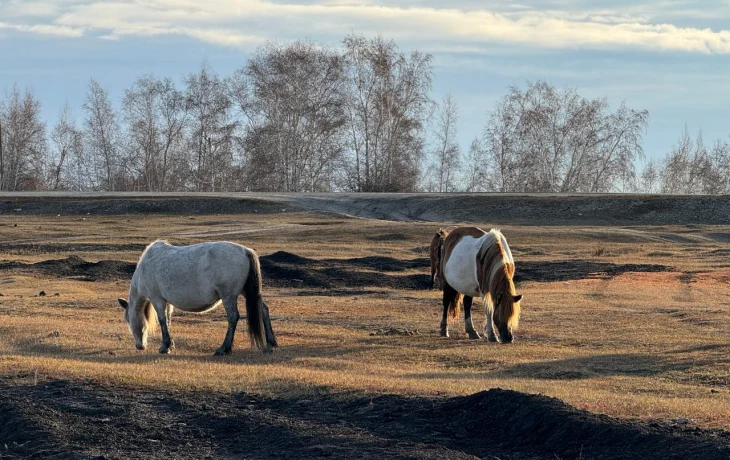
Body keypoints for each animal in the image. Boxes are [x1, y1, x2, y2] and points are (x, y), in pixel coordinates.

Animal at [118, 241, 278, 356]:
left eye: (128, 320)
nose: (139, 346)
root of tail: (245, 251)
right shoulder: (167, 302)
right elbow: (168, 321)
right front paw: (170, 345)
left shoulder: (157, 299)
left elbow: (162, 321)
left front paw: (164, 347)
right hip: (246, 292)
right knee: (263, 309)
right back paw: (271, 343)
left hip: (228, 296)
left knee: (233, 317)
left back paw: (223, 349)